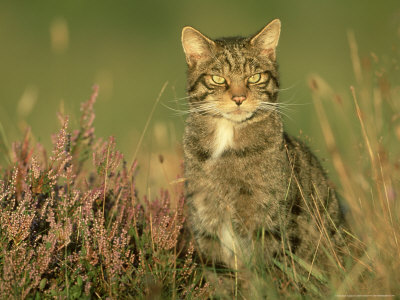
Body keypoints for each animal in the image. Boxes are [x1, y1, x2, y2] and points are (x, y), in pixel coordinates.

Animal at [181, 19, 346, 296]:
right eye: (218, 78)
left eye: (255, 77)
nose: (239, 98)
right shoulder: (206, 226)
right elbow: (223, 280)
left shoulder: (270, 225)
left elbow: (268, 276)